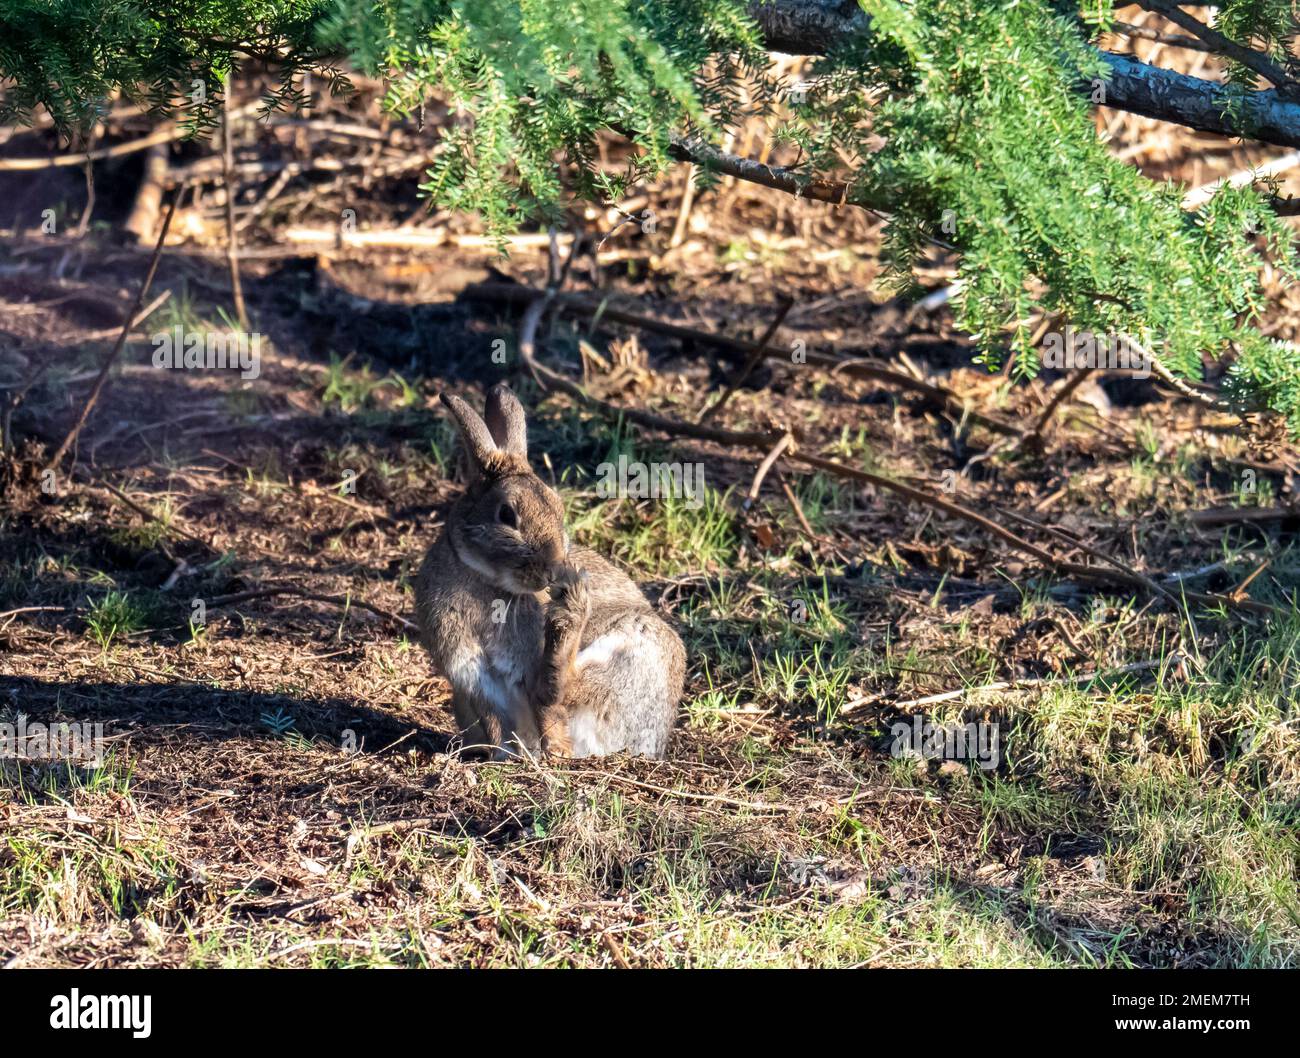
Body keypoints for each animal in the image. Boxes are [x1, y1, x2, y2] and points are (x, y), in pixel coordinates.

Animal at [414, 383, 686, 759]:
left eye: (557, 508)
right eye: (507, 515)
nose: (553, 569)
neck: (485, 578)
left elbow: (547, 712)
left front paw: (555, 751)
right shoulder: (471, 676)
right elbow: (498, 724)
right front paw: (505, 758)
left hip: (640, 646)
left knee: (564, 687)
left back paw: (570, 610)